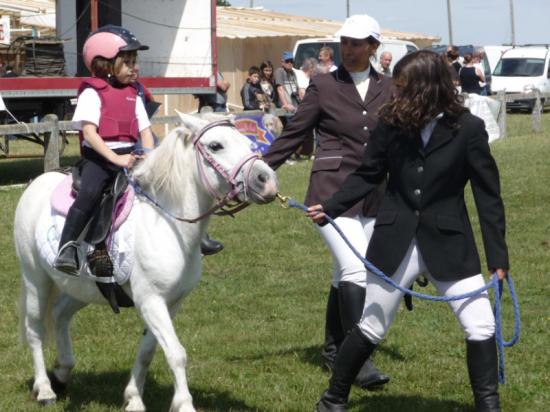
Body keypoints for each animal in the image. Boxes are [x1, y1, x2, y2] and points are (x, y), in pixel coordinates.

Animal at [13, 112, 279, 412]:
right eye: (215, 146)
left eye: (247, 141)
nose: (266, 180)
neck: (166, 222)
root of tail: (36, 183)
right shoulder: (151, 300)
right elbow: (176, 353)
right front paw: (184, 404)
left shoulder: (170, 303)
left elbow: (148, 351)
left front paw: (133, 398)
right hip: (35, 279)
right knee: (34, 328)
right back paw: (45, 389)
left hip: (83, 288)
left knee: (60, 314)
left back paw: (61, 373)